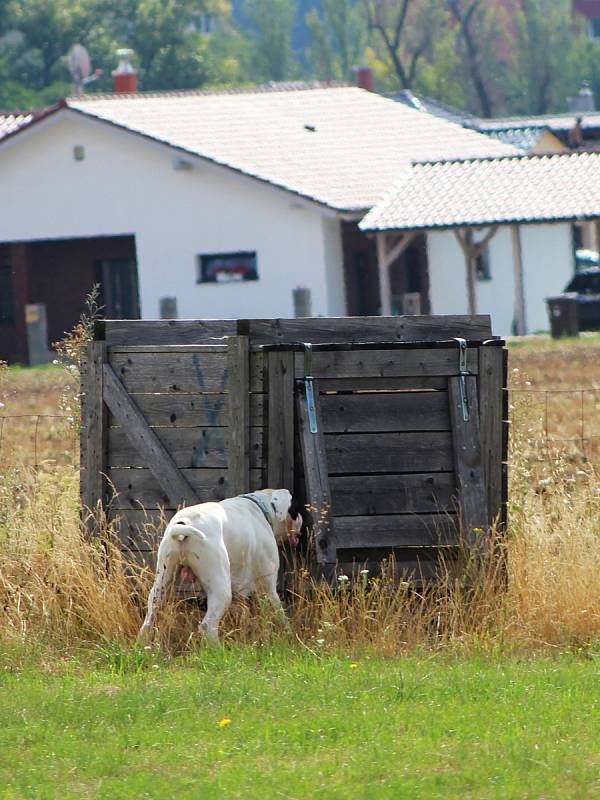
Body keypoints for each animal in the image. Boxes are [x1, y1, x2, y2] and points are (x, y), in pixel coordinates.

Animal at [138, 488, 302, 644]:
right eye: (295, 508)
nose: (302, 518)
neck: (261, 508)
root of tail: (184, 526)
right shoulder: (268, 589)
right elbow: (280, 616)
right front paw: (289, 636)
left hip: (161, 585)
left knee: (147, 623)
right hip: (221, 591)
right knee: (207, 626)